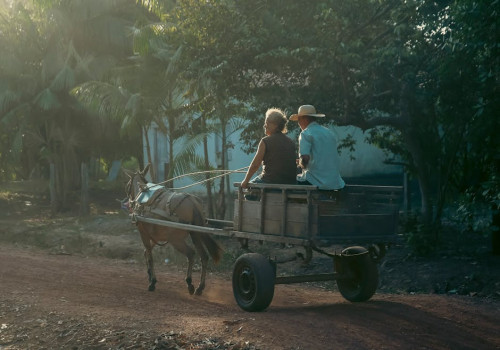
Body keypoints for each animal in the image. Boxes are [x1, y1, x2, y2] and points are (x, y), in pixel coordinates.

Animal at [123, 164, 223, 296]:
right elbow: (146, 253)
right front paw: (150, 276)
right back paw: (200, 287)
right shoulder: (156, 236)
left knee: (191, 253)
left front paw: (152, 282)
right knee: (204, 256)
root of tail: (192, 203)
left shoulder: (143, 233)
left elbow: (149, 256)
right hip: (195, 233)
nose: (129, 202)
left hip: (175, 240)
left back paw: (189, 282)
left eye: (128, 185)